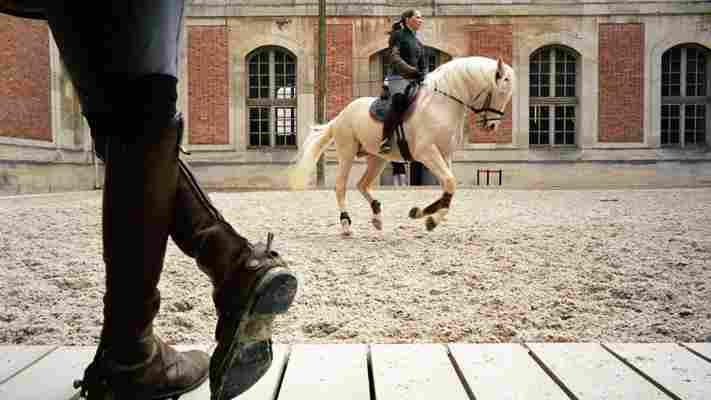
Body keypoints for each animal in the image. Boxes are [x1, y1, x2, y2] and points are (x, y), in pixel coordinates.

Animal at [290, 57, 516, 238]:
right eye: (501, 91)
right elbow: (450, 183)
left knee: (362, 184)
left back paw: (377, 217)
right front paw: (431, 219)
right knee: (340, 187)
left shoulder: (445, 154)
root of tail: (340, 116)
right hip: (347, 153)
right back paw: (346, 225)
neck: (442, 103)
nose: (492, 126)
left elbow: (449, 186)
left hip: (377, 158)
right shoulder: (427, 153)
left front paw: (422, 214)